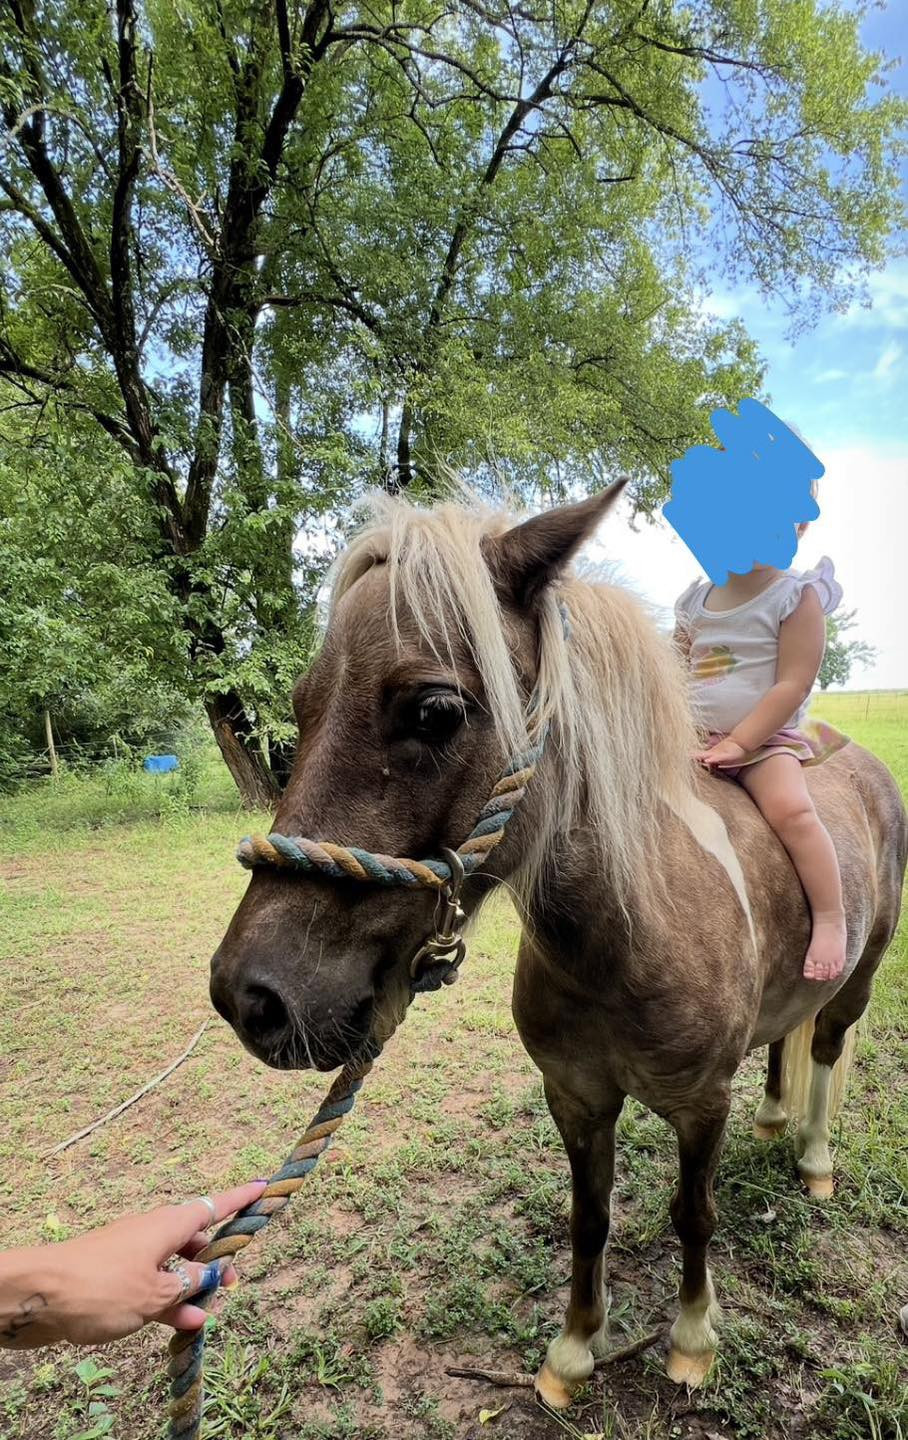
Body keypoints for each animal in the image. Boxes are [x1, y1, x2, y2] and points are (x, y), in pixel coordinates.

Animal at [210, 482, 907, 1407]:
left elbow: (694, 1215)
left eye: (433, 709)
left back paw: (816, 1159)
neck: (628, 936)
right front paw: (574, 1350)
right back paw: (771, 1120)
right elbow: (590, 1218)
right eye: (301, 707)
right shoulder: (575, 1097)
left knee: (825, 1046)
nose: (248, 996)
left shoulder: (700, 1106)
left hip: (857, 976)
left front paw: (691, 1340)